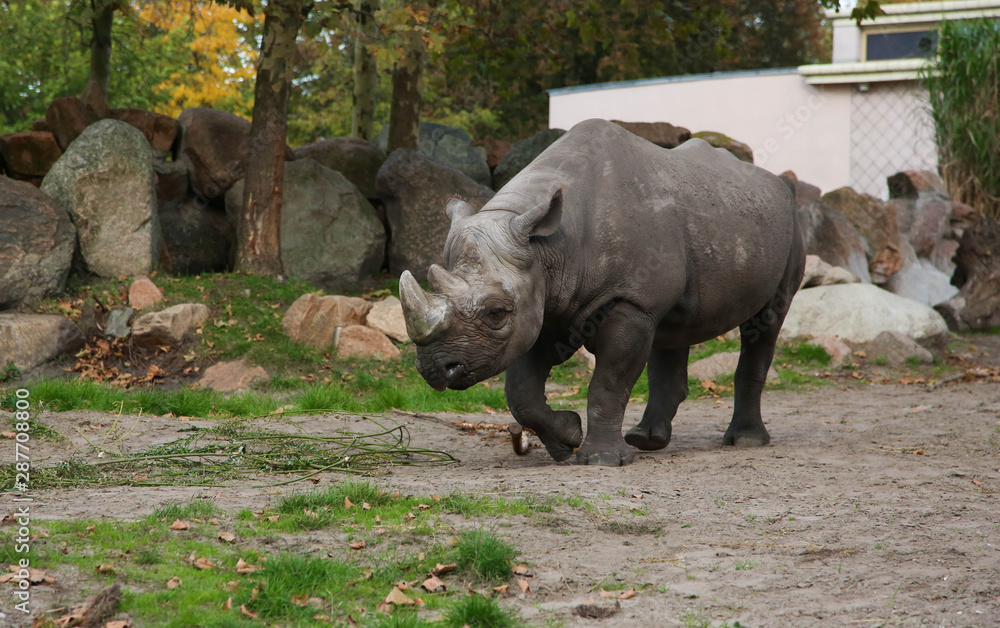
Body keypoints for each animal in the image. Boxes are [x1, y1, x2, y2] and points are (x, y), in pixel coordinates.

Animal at [399, 118, 805, 466]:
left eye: (496, 312)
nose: (434, 369)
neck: (550, 247)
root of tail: (779, 183)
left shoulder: (629, 300)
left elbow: (609, 381)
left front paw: (602, 459)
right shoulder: (544, 300)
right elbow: (520, 390)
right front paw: (566, 440)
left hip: (789, 225)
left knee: (766, 322)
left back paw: (746, 441)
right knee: (674, 324)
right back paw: (647, 440)